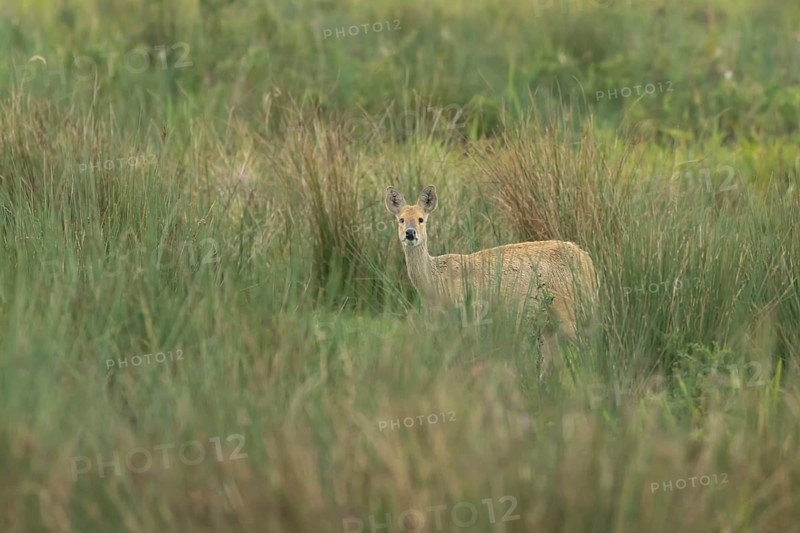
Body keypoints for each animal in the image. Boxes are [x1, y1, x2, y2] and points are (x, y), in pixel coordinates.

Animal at [385, 185, 598, 377]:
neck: (436, 280)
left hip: (568, 309)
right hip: (548, 322)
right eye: (401, 219)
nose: (410, 233)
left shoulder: (471, 312)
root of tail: (588, 261)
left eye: (421, 219)